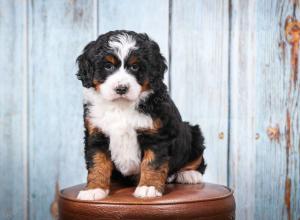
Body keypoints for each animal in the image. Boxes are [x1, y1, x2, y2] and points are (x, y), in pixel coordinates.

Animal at [75, 30, 206, 200]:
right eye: (108, 66)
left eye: (135, 67)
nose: (121, 88)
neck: (121, 106)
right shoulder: (96, 134)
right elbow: (97, 162)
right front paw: (94, 189)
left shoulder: (157, 135)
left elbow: (152, 163)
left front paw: (148, 187)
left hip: (193, 133)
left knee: (197, 158)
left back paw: (189, 174)